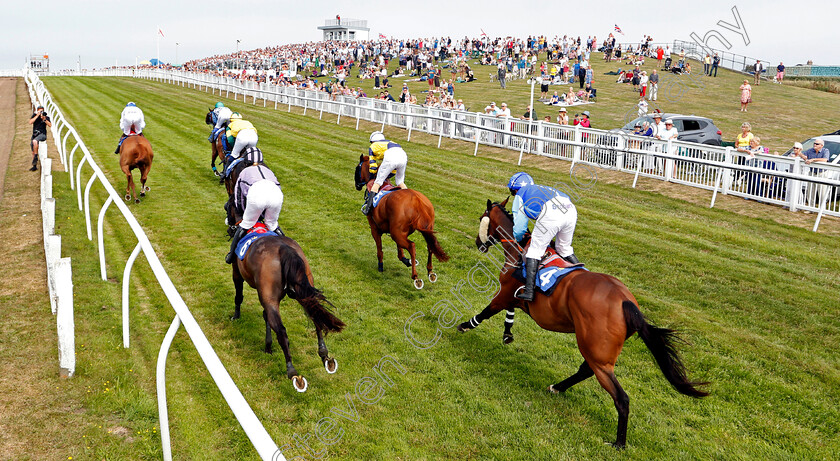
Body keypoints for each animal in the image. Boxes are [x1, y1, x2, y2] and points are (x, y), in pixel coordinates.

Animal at [225, 200, 342, 388]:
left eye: (227, 207)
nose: (229, 227)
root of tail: (284, 249)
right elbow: (265, 316)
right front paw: (268, 346)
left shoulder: (238, 272)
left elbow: (239, 295)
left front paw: (236, 316)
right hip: (305, 289)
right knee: (316, 318)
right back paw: (325, 356)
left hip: (271, 297)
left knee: (281, 330)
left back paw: (292, 372)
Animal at [352, 156, 450, 290]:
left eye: (357, 168)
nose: (356, 184)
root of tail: (417, 200)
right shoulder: (398, 231)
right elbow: (399, 251)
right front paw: (407, 261)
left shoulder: (375, 229)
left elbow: (380, 249)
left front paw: (380, 266)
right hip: (422, 229)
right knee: (430, 245)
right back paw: (430, 271)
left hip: (396, 233)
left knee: (412, 246)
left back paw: (416, 277)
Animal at [460, 197, 708, 446]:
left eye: (481, 217)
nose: (478, 243)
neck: (519, 248)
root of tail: (627, 304)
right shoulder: (513, 296)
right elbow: (509, 313)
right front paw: (507, 333)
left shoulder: (504, 293)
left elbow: (487, 311)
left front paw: (465, 325)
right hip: (597, 351)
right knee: (585, 370)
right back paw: (558, 387)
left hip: (596, 352)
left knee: (621, 397)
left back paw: (619, 443)